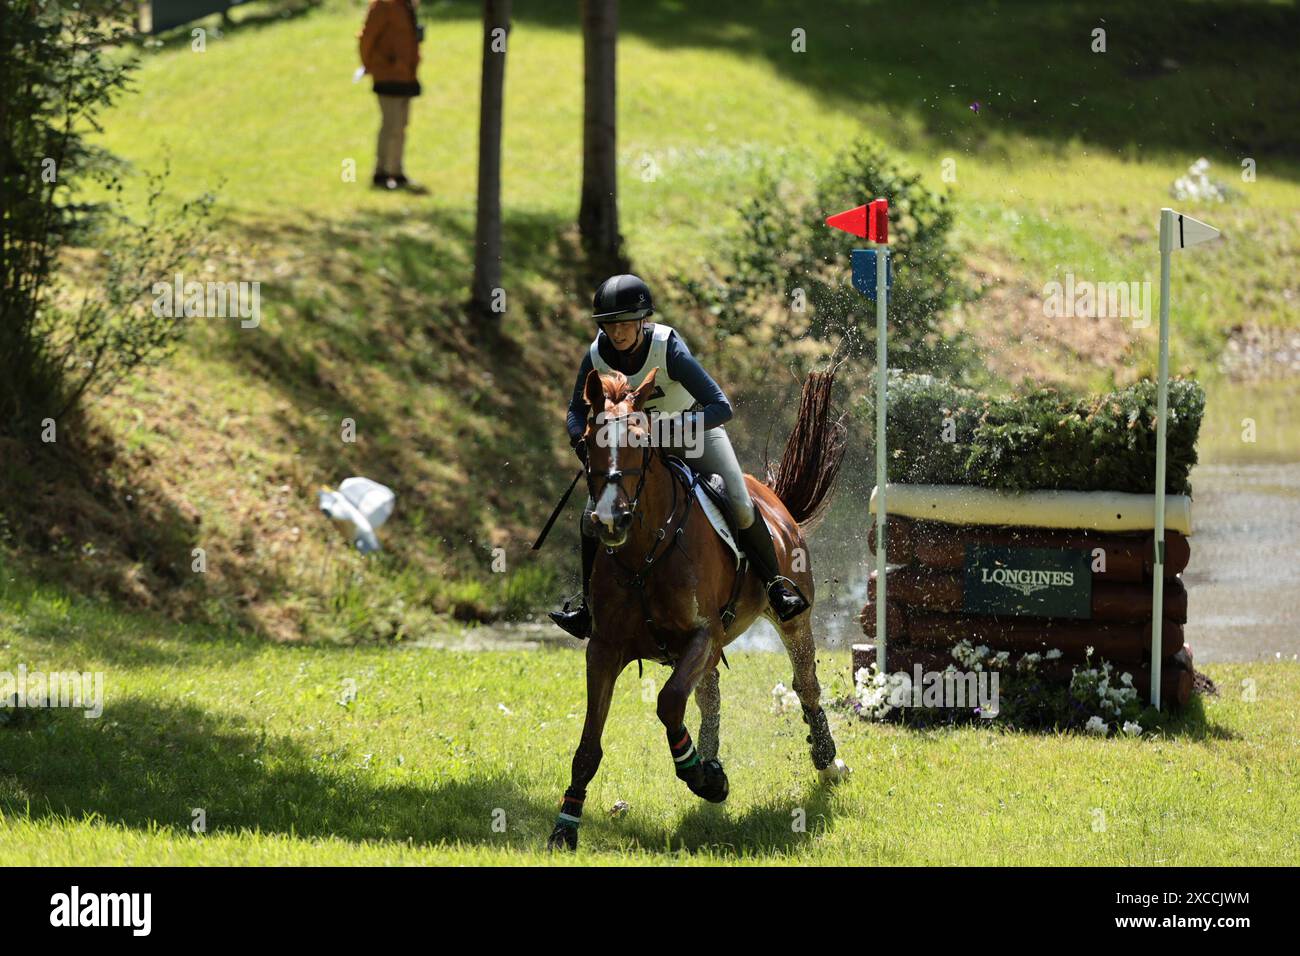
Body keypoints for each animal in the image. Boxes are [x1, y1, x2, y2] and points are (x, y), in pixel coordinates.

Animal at [548, 366, 852, 853]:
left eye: (641, 439)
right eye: (589, 441)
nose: (610, 520)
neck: (644, 553)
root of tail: (771, 497)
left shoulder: (701, 636)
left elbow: (669, 702)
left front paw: (702, 778)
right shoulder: (604, 648)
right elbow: (590, 743)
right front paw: (565, 826)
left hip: (794, 619)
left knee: (806, 685)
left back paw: (826, 762)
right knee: (710, 698)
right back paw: (710, 757)